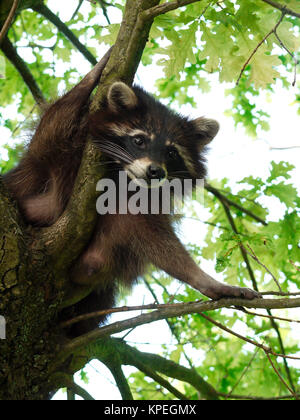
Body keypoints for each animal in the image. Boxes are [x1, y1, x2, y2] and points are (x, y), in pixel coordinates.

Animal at [2, 50, 260, 334]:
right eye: (139, 141)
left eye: (172, 152)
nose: (155, 171)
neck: (121, 177)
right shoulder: (57, 157)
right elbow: (51, 130)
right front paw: (94, 73)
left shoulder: (134, 204)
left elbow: (156, 241)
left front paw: (205, 280)